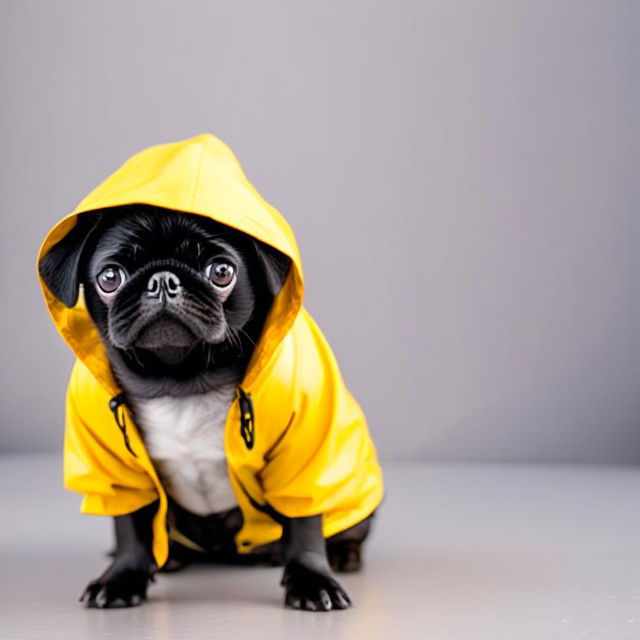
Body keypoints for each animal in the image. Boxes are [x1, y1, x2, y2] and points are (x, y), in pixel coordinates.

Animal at [36, 132, 384, 612]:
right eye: (110, 277)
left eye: (221, 271)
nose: (163, 281)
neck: (181, 378)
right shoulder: (117, 469)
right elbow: (130, 525)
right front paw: (123, 577)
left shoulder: (305, 451)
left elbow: (305, 523)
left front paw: (312, 580)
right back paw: (169, 559)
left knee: (346, 528)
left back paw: (341, 555)